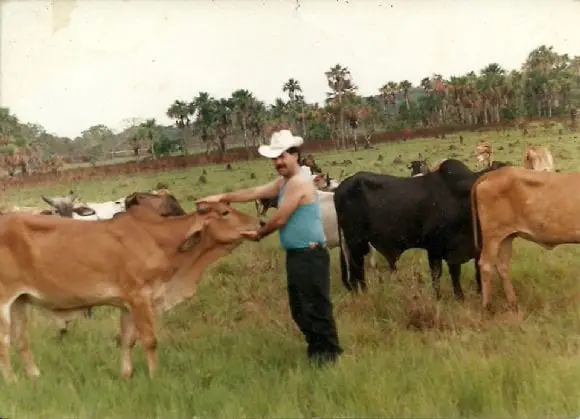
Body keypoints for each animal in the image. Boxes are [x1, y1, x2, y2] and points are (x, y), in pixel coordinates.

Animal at [0, 202, 260, 382]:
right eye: (224, 213)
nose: (258, 224)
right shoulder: (140, 297)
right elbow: (149, 340)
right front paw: (156, 376)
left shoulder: (127, 303)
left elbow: (128, 341)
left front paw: (126, 375)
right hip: (3, 302)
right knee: (4, 342)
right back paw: (12, 381)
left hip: (20, 301)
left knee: (21, 340)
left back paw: (35, 377)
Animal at [334, 158, 510, 298]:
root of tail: (340, 188)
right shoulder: (436, 248)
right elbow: (439, 275)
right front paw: (443, 298)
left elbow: (467, 273)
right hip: (355, 242)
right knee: (357, 270)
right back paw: (364, 294)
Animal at [472, 167, 580, 312]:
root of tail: (494, 173)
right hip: (492, 236)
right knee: (485, 265)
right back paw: (487, 306)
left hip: (506, 237)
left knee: (502, 266)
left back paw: (513, 303)